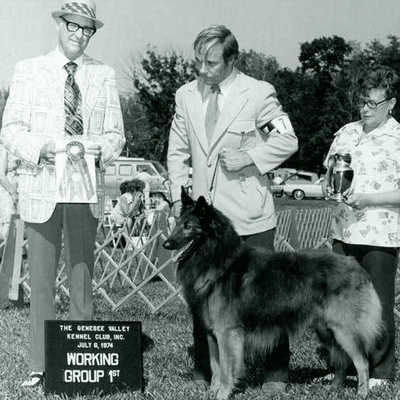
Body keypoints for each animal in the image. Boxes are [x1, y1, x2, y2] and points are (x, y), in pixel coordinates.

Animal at [162, 188, 382, 400]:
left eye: (189, 226)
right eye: (177, 223)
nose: (166, 245)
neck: (218, 258)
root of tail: (355, 265)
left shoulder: (227, 332)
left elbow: (225, 369)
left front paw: (222, 394)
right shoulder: (211, 333)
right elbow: (215, 367)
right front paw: (212, 392)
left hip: (343, 329)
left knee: (361, 362)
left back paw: (362, 393)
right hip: (327, 329)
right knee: (341, 360)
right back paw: (335, 388)